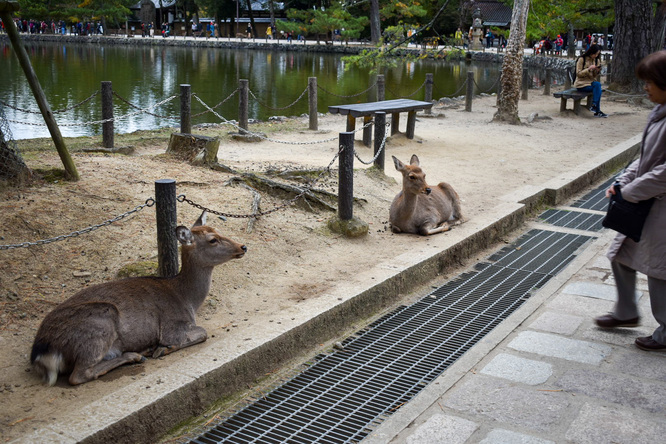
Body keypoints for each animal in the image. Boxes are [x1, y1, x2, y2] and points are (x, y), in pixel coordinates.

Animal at [29, 212, 245, 386]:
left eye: (217, 230)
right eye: (213, 239)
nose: (243, 246)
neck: (188, 300)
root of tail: (42, 351)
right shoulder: (172, 326)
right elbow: (202, 333)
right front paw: (162, 349)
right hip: (100, 321)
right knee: (78, 375)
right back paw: (136, 355)